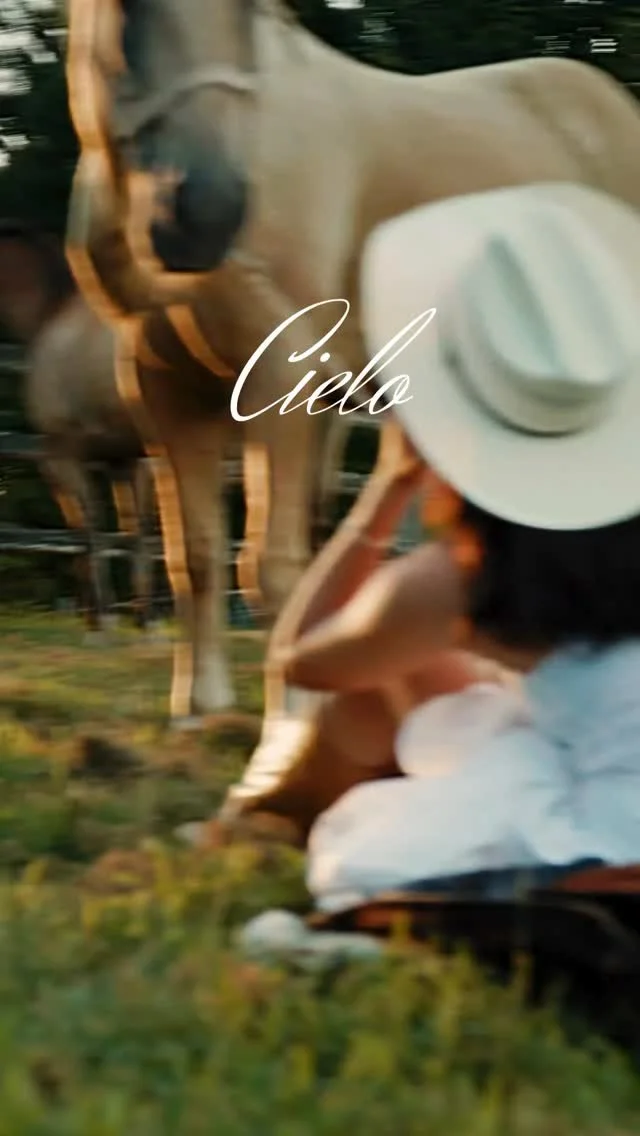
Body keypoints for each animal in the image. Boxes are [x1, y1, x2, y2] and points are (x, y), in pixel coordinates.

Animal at [0, 220, 157, 633]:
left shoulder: (61, 456)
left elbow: (87, 530)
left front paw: (101, 619)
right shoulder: (125, 461)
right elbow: (132, 532)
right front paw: (140, 617)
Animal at [65, 0, 640, 727]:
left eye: (249, 12)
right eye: (127, 9)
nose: (202, 212)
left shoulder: (283, 378)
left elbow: (274, 564)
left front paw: (291, 715)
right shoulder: (163, 385)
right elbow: (192, 555)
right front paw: (199, 708)